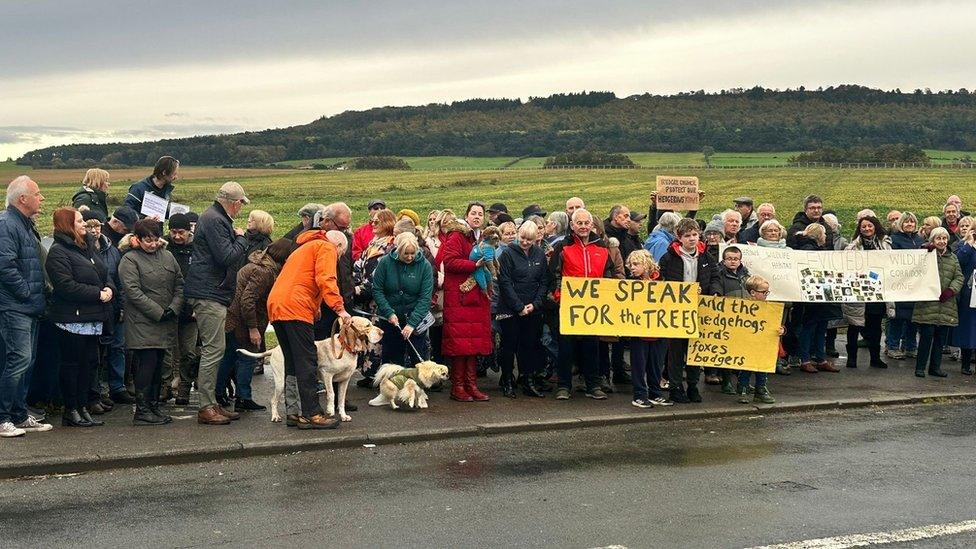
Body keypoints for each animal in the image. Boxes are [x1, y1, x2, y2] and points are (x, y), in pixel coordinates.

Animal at [240, 314, 386, 422]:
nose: (383, 332)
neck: (345, 348)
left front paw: (343, 416)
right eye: (367, 325)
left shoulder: (344, 380)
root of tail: (274, 349)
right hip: (280, 381)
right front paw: (330, 411)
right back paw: (275, 416)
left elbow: (341, 399)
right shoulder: (327, 375)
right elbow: (331, 394)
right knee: (273, 400)